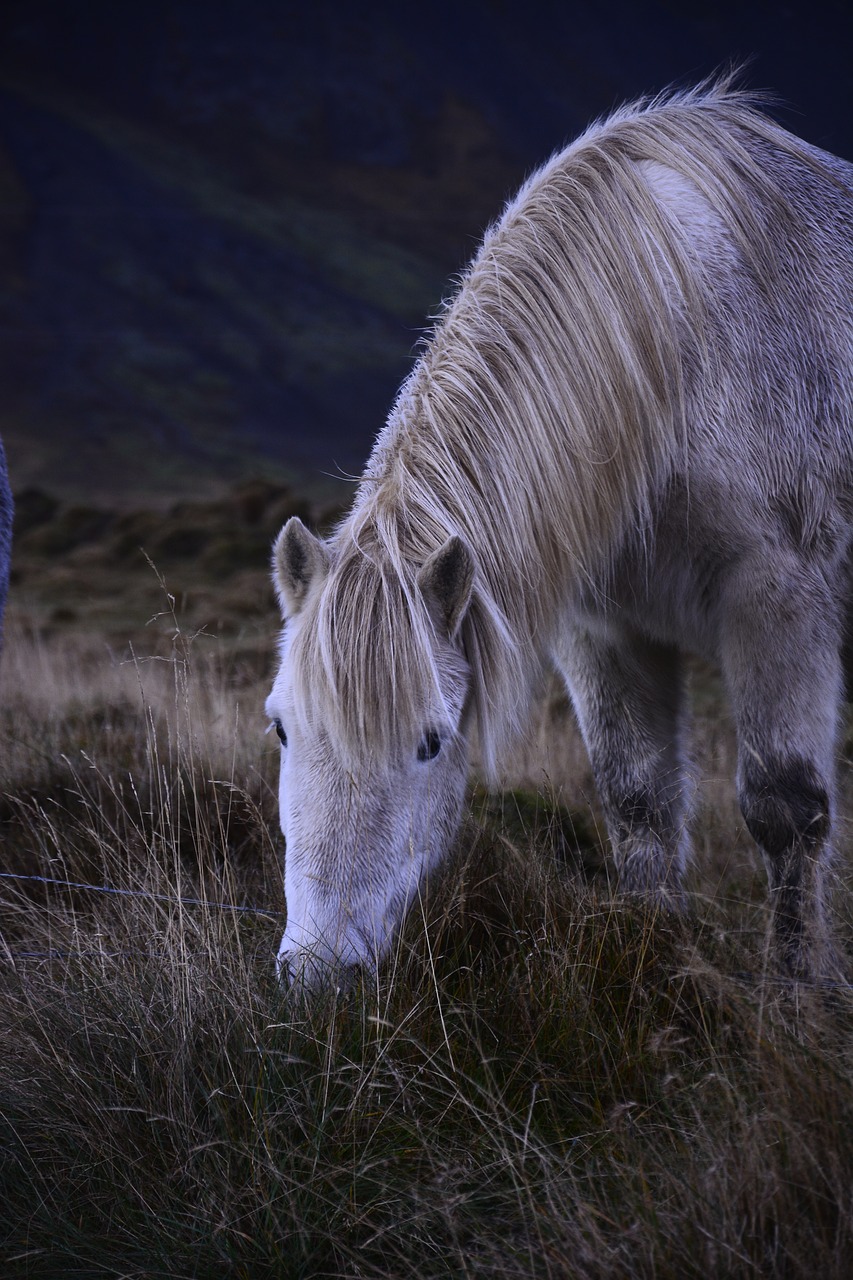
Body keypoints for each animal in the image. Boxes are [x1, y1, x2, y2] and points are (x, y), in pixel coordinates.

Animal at [263, 74, 850, 983]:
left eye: (430, 743)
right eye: (281, 726)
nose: (317, 976)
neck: (669, 347)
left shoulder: (775, 600)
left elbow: (784, 810)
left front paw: (797, 1000)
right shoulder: (602, 626)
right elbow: (637, 803)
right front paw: (662, 971)